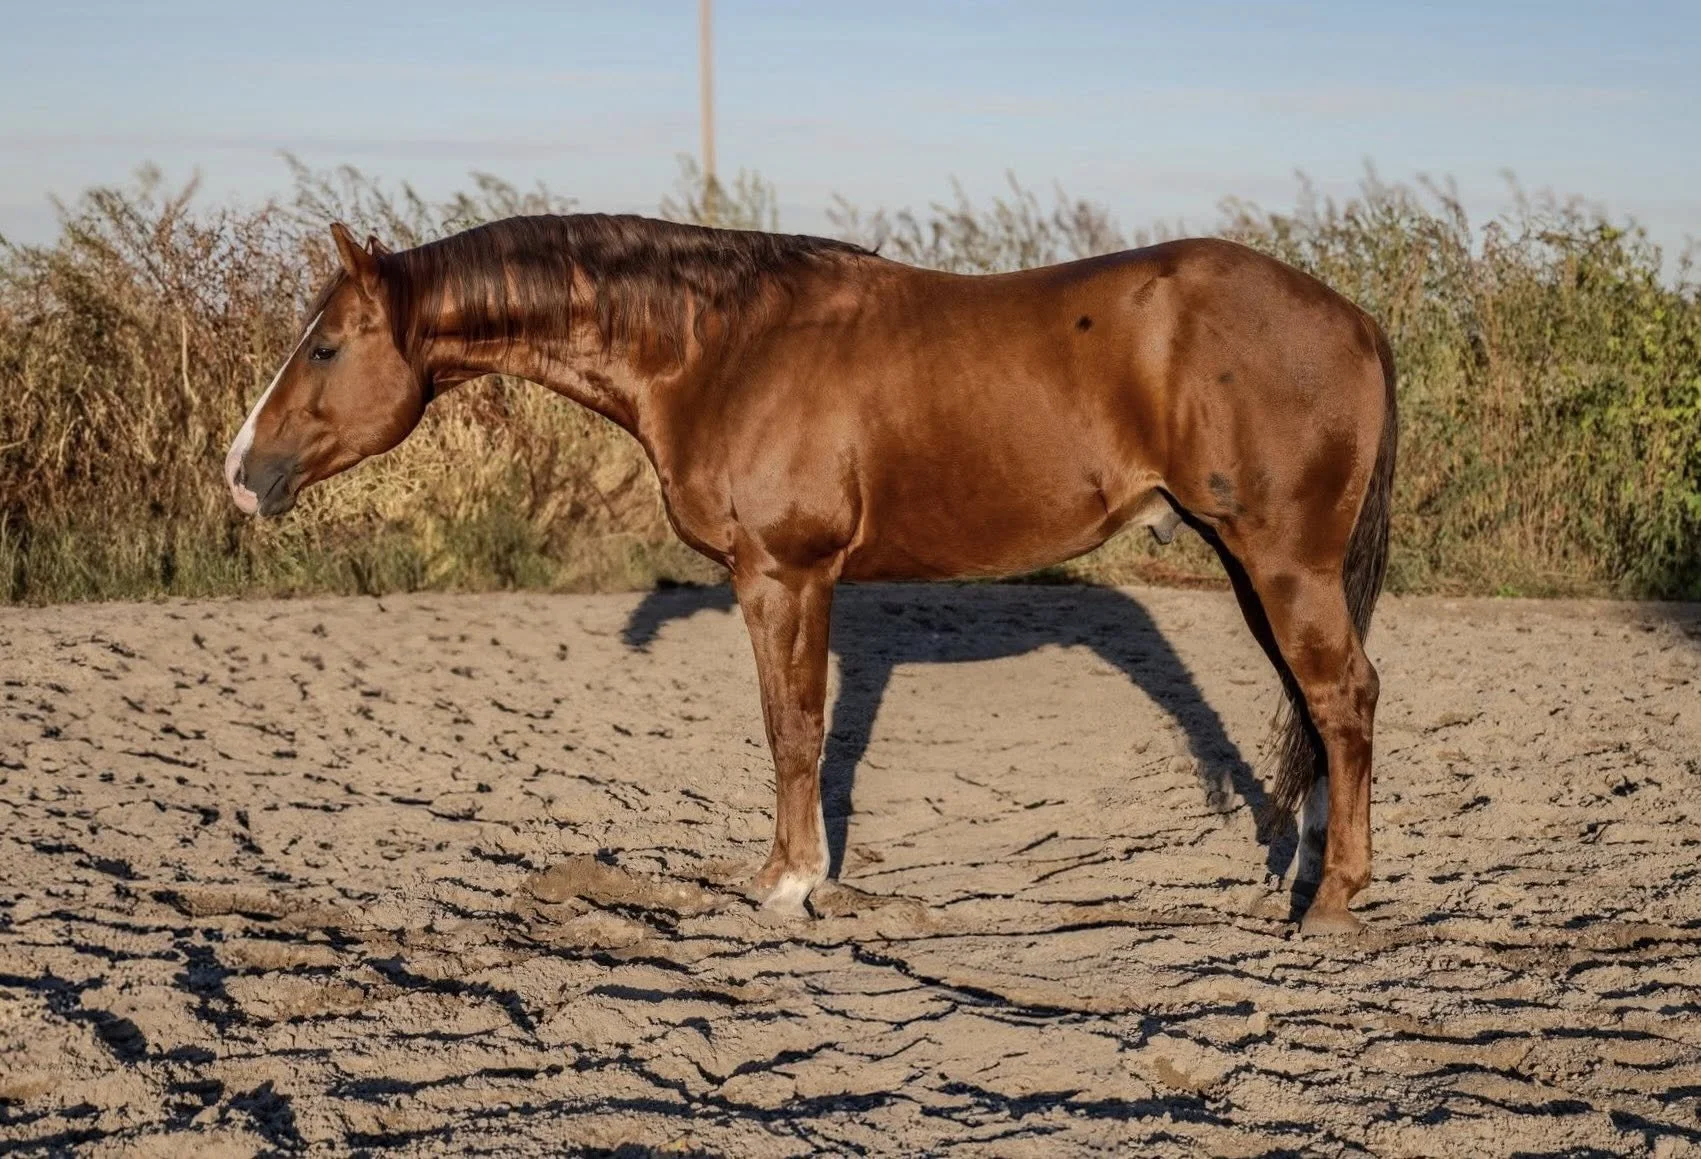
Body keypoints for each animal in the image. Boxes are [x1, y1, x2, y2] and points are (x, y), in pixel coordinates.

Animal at [223, 215, 1397, 934]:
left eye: (325, 347)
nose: (241, 472)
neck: (716, 349)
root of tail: (1349, 317)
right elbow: (797, 725)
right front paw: (794, 870)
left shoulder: (783, 573)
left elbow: (792, 726)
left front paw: (786, 883)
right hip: (1250, 561)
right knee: (1312, 706)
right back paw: (1299, 865)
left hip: (1283, 559)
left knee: (1342, 697)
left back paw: (1332, 902)